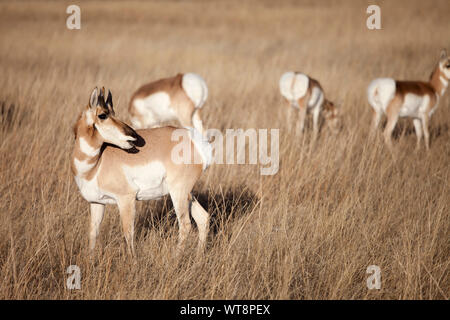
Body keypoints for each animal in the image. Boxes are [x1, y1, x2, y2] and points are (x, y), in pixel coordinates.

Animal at [72, 87, 213, 255]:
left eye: (113, 112)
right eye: (103, 115)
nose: (133, 135)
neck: (95, 165)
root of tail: (195, 140)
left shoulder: (126, 199)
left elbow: (128, 233)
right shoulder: (96, 203)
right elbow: (93, 233)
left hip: (178, 192)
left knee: (185, 224)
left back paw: (176, 257)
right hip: (187, 193)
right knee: (203, 218)